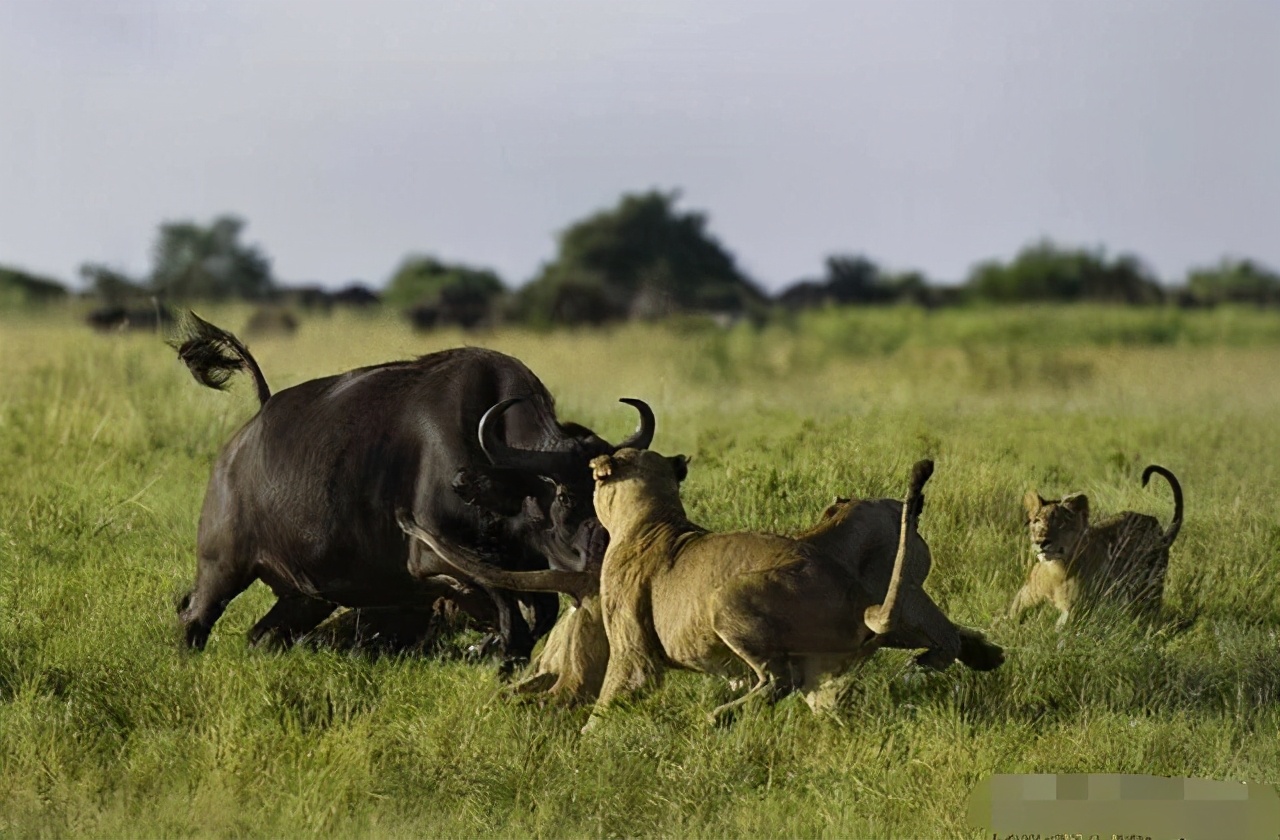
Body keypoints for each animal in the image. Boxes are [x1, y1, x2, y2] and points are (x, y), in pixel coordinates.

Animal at [168, 311, 650, 660]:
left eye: (608, 496)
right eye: (565, 497)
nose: (602, 553)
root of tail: (246, 436)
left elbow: (535, 614)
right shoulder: (432, 558)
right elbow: (506, 609)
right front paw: (491, 648)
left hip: (307, 597)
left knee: (262, 635)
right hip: (223, 567)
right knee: (193, 616)